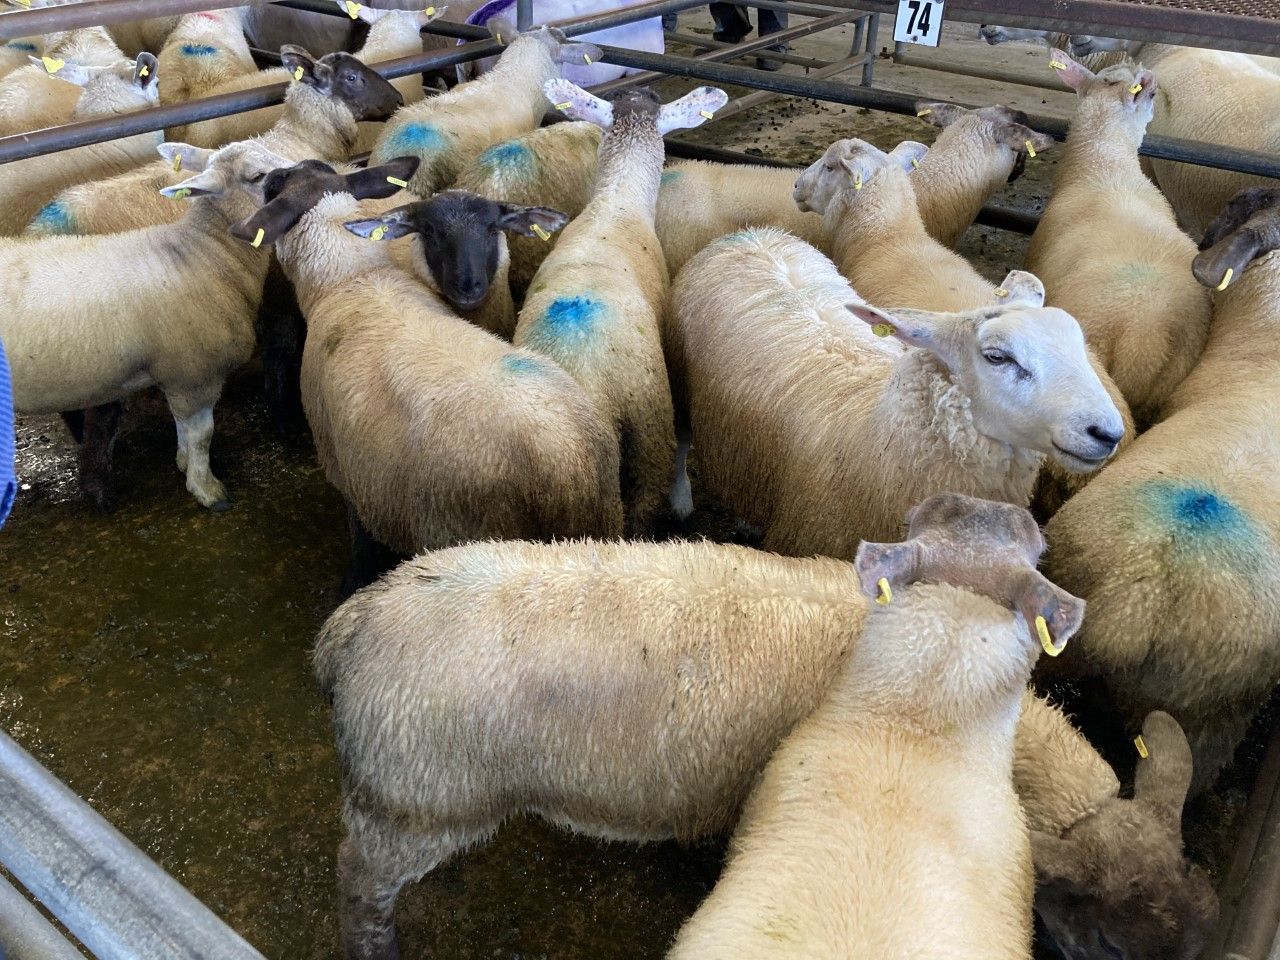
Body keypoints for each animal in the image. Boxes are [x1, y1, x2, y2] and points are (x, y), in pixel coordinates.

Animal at [0, 140, 286, 510]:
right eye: (257, 176)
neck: (205, 253)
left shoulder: (176, 373)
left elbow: (183, 427)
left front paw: (183, 463)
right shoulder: (195, 374)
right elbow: (202, 435)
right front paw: (207, 489)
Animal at [230, 158, 622, 590]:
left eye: (274, 186)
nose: (269, 173)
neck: (353, 275)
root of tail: (564, 461)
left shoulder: (351, 477)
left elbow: (361, 548)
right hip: (605, 515)